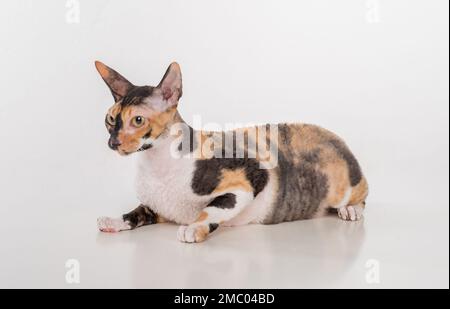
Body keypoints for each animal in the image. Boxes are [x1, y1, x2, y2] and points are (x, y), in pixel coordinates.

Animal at [95, 60, 370, 242]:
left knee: (362, 195)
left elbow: (214, 208)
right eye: (110, 119)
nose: (113, 142)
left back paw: (350, 209)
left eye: (138, 121)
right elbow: (137, 212)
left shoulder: (253, 177)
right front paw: (114, 221)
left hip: (344, 185)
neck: (156, 163)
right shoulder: (158, 206)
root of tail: (335, 136)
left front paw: (194, 227)